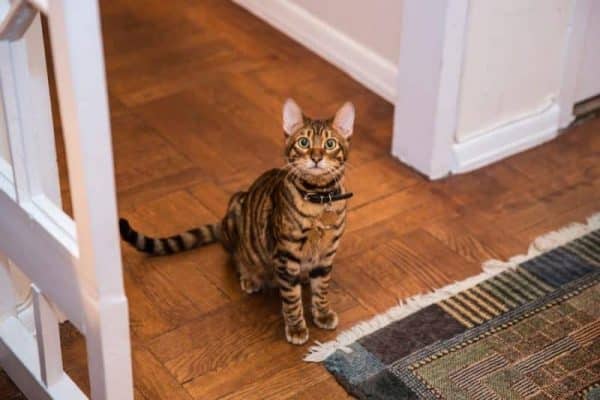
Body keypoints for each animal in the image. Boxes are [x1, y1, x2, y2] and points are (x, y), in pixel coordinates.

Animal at [120, 99, 356, 344]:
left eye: (330, 144)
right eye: (303, 142)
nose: (316, 157)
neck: (320, 199)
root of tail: (222, 222)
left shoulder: (326, 254)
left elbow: (322, 291)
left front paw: (322, 314)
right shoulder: (286, 256)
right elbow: (291, 300)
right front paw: (296, 328)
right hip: (237, 214)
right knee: (235, 257)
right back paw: (250, 277)